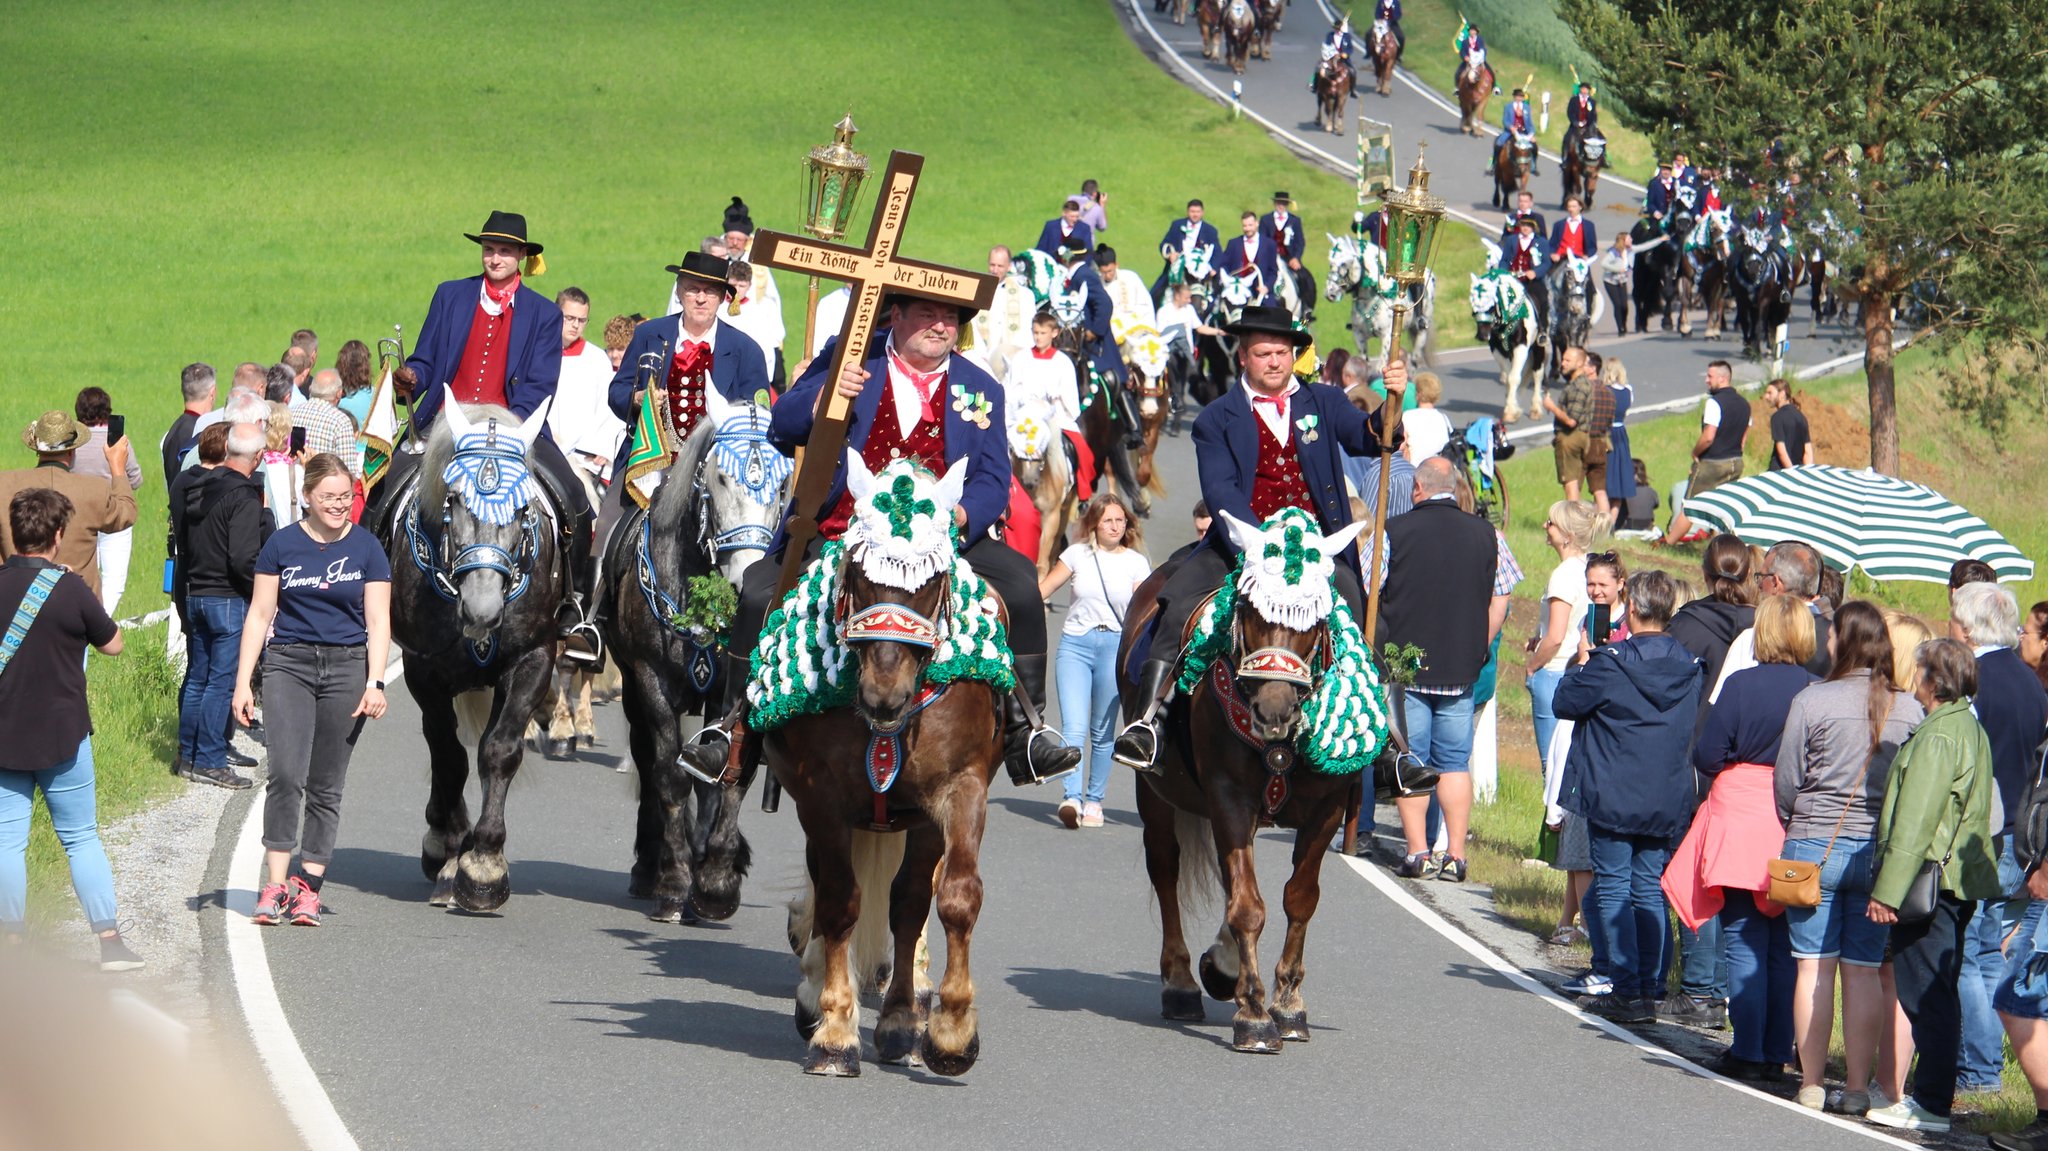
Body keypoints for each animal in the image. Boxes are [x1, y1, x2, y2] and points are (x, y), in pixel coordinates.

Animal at [385, 389, 569, 909]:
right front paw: (449, 848)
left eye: (524, 508)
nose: (482, 611)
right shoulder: (422, 670)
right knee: (440, 743)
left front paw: (483, 863)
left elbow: (499, 750)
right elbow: (448, 754)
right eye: (453, 499)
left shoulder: (533, 660)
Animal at [602, 407, 786, 917]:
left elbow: (731, 776)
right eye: (721, 478)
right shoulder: (652, 682)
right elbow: (669, 776)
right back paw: (650, 866)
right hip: (634, 689)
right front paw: (675, 880)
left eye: (784, 483)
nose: (746, 583)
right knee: (648, 761)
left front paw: (718, 878)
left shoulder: (735, 690)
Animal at [753, 452, 1007, 1073]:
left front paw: (947, 1031)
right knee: (827, 890)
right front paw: (835, 1032)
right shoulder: (822, 799)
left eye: (934, 581)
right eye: (858, 574)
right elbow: (841, 903)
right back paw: (814, 995)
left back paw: (900, 1019)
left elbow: (947, 899)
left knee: (908, 901)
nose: (883, 695)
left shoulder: (957, 791)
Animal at [1122, 505, 1392, 1044]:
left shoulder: (1327, 810)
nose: (1274, 710)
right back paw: (1182, 984)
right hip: (1155, 793)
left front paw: (1287, 1004)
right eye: (1248, 610)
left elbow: (1298, 899)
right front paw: (1253, 1015)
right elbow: (1248, 906)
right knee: (1166, 869)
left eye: (1315, 621)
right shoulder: (1229, 797)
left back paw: (1222, 968)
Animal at [1466, 268, 1540, 421]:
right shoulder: (1497, 350)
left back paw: (1535, 409)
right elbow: (1507, 378)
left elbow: (1513, 378)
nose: (1482, 335)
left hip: (1539, 347)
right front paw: (1512, 406)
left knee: (1537, 374)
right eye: (1473, 304)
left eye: (1491, 305)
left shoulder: (1520, 348)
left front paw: (1510, 412)